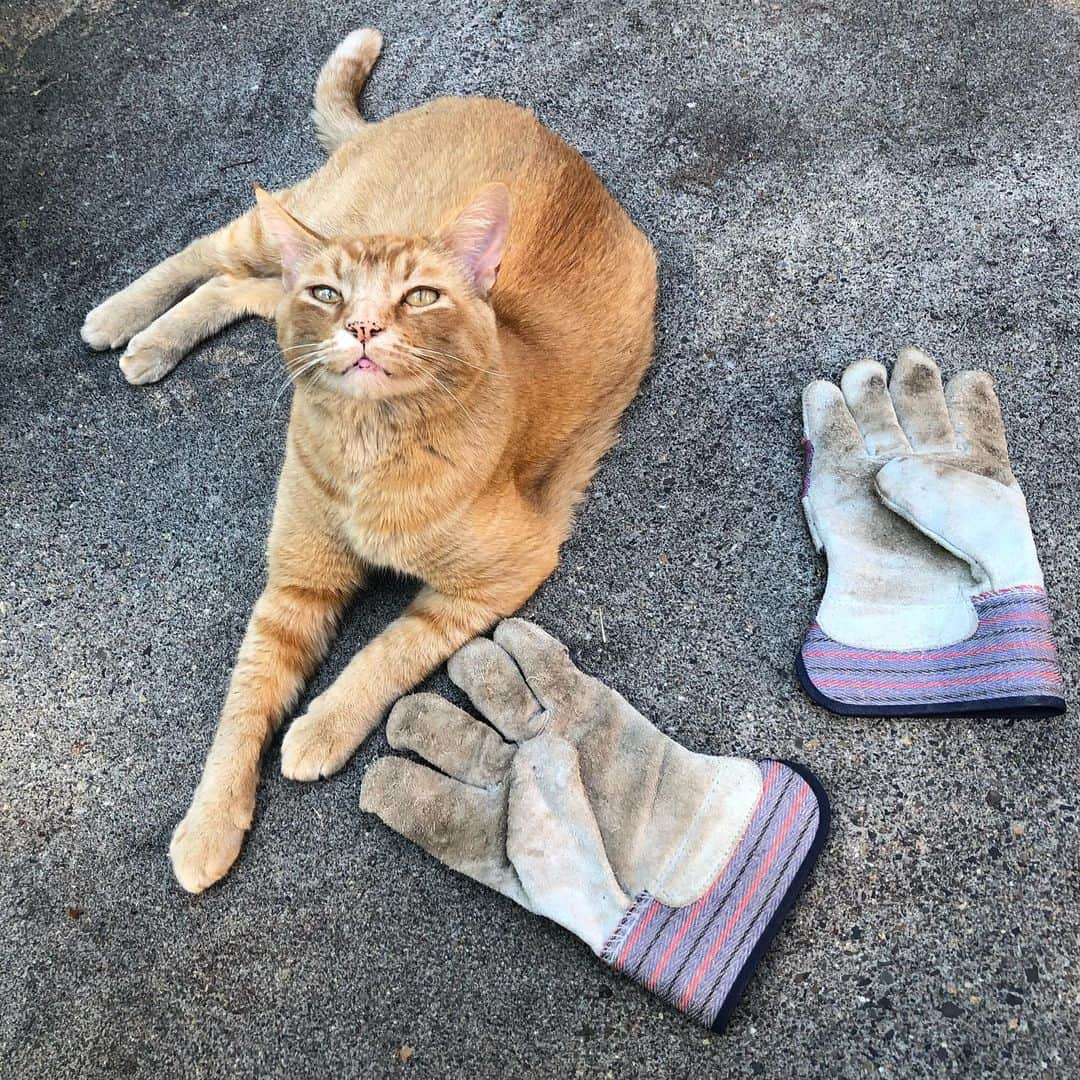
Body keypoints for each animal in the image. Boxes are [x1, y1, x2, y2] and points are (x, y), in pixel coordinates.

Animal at [79, 31, 652, 894]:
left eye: (419, 297)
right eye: (329, 293)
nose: (362, 328)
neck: (366, 449)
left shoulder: (497, 579)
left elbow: (387, 652)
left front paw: (322, 728)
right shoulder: (295, 588)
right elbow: (243, 702)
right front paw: (209, 822)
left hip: (275, 275)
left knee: (231, 285)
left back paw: (148, 339)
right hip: (284, 230)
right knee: (210, 253)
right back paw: (121, 317)